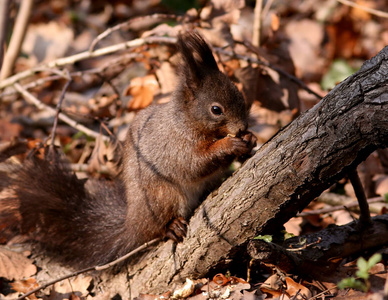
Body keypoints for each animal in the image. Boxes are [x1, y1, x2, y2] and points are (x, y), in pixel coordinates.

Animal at [0, 31, 256, 268]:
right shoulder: (174, 146)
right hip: (161, 196)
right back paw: (170, 227)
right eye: (216, 110)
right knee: (154, 229)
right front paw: (230, 144)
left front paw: (250, 140)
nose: (242, 126)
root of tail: (132, 221)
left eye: (240, 94)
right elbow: (194, 164)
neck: (186, 121)